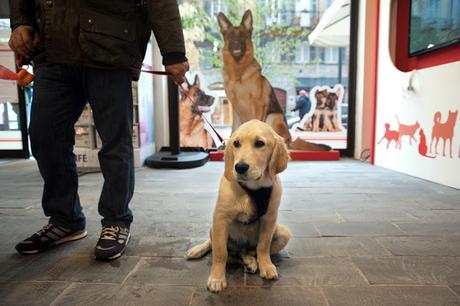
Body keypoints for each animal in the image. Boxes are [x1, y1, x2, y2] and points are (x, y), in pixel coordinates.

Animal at [184, 119, 290, 292]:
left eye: (259, 143)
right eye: (236, 143)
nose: (239, 167)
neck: (253, 188)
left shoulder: (270, 218)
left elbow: (263, 246)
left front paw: (266, 266)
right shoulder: (220, 218)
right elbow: (220, 252)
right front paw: (217, 278)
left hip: (283, 232)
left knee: (248, 253)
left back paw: (251, 262)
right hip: (214, 228)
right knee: (221, 249)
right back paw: (198, 250)